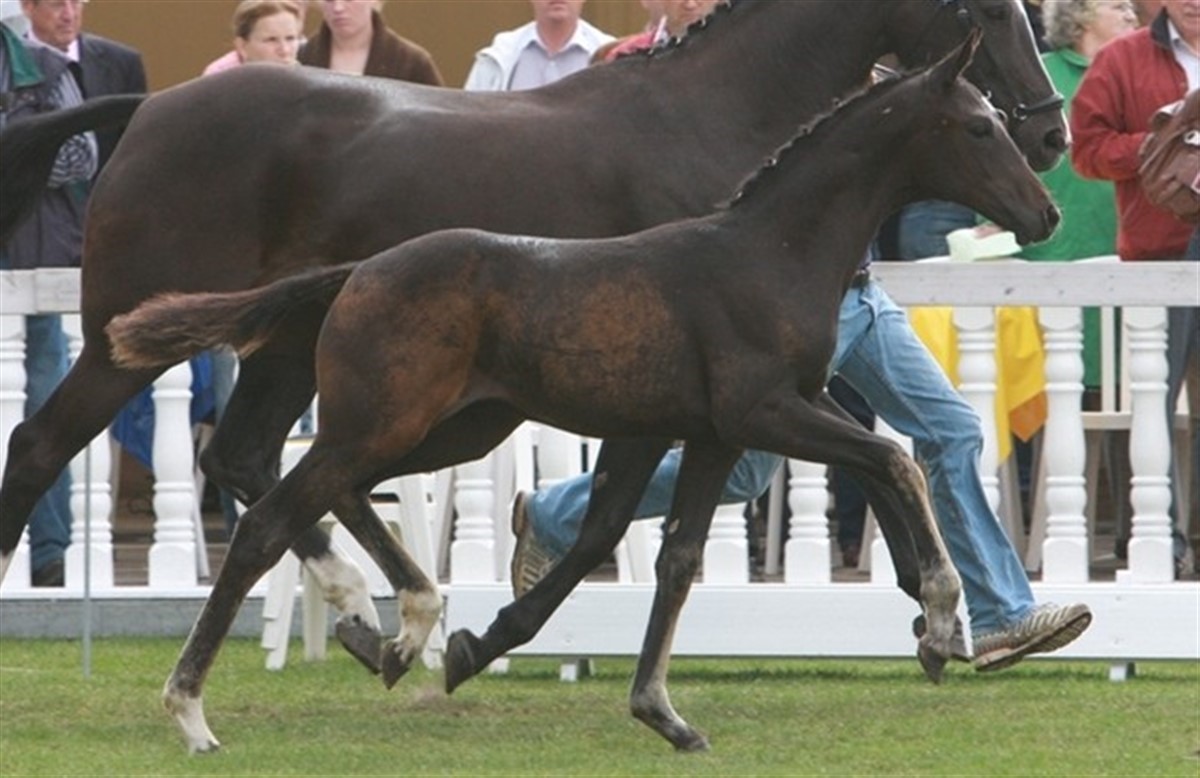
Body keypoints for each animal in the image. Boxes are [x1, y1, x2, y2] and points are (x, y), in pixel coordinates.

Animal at [0, 0, 1065, 672]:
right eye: (988, 10)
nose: (1050, 134)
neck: (717, 122)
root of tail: (148, 109)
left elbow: (879, 441)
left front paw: (965, 616)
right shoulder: (729, 362)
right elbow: (868, 447)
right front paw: (941, 610)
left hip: (291, 351)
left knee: (255, 459)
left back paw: (378, 609)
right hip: (130, 340)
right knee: (46, 442)